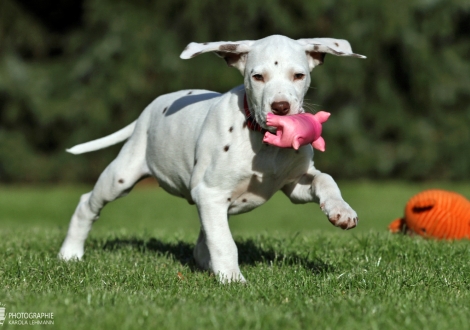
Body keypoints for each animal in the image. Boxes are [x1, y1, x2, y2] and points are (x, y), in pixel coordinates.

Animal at [59, 34, 368, 282]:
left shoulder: (295, 184)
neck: (264, 142)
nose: (280, 107)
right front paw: (232, 279)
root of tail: (149, 109)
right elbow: (224, 242)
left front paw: (341, 211)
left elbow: (325, 180)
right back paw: (70, 253)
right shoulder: (210, 193)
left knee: (201, 242)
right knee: (87, 204)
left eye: (298, 75)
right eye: (257, 77)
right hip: (123, 175)